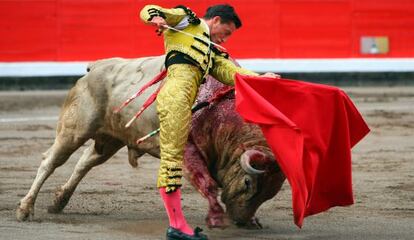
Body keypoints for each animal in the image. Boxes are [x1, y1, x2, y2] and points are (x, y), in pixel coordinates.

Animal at [17, 55, 286, 229]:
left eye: (270, 194)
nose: (242, 221)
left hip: (110, 139)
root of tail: (94, 68)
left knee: (84, 162)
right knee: (50, 162)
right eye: (248, 183)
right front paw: (216, 217)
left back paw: (59, 201)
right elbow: (207, 184)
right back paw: (25, 209)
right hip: (74, 130)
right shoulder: (187, 151)